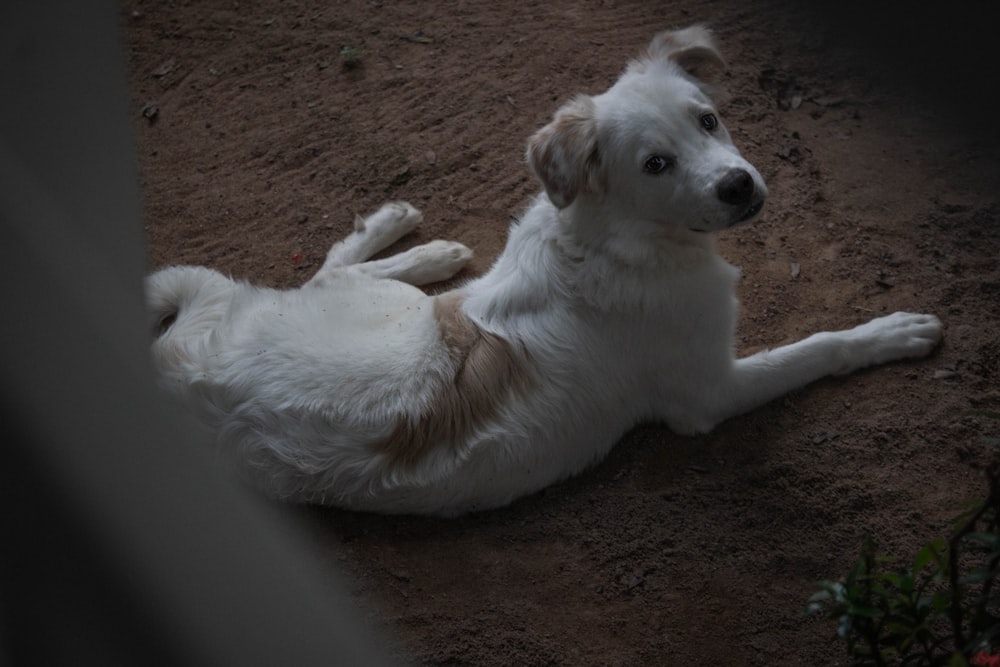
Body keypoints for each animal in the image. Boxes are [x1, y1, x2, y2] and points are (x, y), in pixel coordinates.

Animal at [145, 26, 940, 516]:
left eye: (708, 119)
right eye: (656, 163)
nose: (740, 186)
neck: (609, 239)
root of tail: (184, 359)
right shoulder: (708, 391)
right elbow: (818, 347)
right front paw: (893, 332)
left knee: (337, 274)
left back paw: (425, 244)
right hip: (366, 308)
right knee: (330, 273)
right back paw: (409, 235)